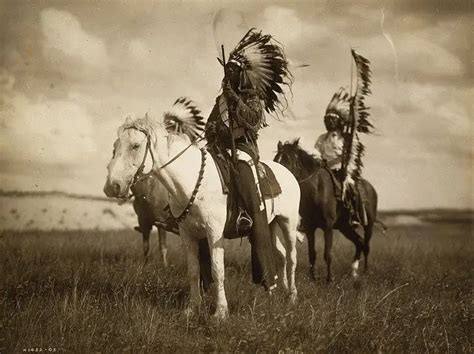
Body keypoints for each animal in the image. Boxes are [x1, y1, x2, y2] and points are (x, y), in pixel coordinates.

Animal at [103, 115, 300, 320]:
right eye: (115, 146)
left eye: (135, 145)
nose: (112, 186)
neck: (192, 183)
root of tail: (287, 172)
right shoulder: (188, 235)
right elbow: (193, 270)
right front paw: (192, 307)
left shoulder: (214, 233)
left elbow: (217, 270)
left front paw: (220, 312)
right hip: (271, 225)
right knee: (279, 255)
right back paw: (276, 291)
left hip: (288, 223)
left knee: (291, 256)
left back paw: (292, 296)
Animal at [274, 139, 382, 282]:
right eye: (276, 160)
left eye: (288, 160)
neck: (317, 190)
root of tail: (371, 188)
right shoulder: (310, 228)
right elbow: (312, 253)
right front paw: (313, 279)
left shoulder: (328, 227)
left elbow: (327, 253)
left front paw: (329, 279)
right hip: (345, 227)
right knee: (359, 242)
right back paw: (354, 273)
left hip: (368, 225)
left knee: (366, 246)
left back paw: (365, 272)